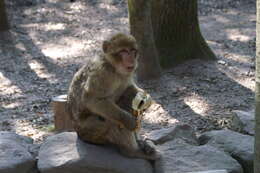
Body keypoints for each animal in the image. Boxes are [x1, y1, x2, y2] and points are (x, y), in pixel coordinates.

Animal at [67, 32, 158, 161]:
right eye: (124, 51)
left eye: (132, 50)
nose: (131, 59)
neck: (114, 67)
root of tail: (78, 134)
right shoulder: (101, 73)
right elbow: (93, 99)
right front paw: (127, 120)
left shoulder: (127, 73)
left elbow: (129, 86)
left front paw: (146, 98)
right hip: (91, 131)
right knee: (111, 121)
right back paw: (131, 151)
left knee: (128, 93)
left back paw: (141, 144)